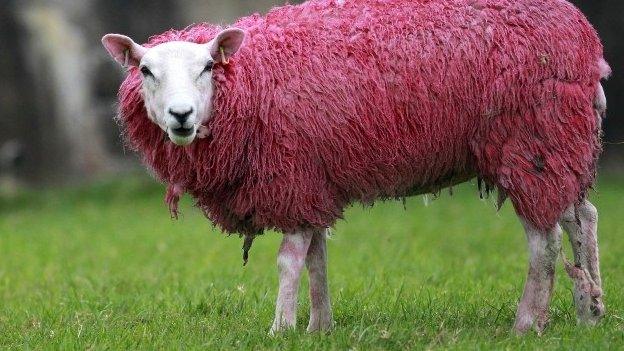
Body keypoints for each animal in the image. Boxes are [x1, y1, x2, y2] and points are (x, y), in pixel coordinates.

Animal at [101, 0, 608, 336]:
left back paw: (527, 324)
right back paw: (589, 312)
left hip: (532, 140)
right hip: (561, 144)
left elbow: (289, 260)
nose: (181, 116)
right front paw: (319, 327)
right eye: (145, 71)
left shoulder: (294, 176)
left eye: (208, 67)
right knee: (581, 219)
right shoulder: (313, 181)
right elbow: (317, 258)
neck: (251, 80)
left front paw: (281, 329)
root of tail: (585, 40)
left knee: (544, 241)